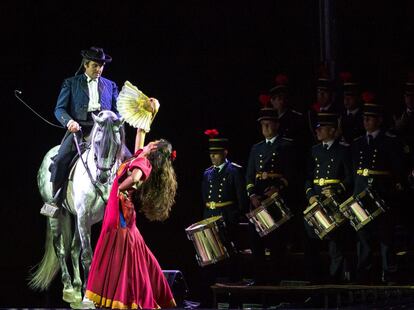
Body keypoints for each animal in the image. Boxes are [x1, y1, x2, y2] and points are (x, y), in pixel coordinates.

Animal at [29, 110, 129, 304]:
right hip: (58, 217)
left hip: (77, 218)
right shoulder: (84, 217)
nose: (103, 177)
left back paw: (76, 287)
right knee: (60, 249)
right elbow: (88, 255)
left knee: (74, 249)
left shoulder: (94, 219)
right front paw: (89, 297)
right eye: (97, 142)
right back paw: (69, 287)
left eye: (117, 144)